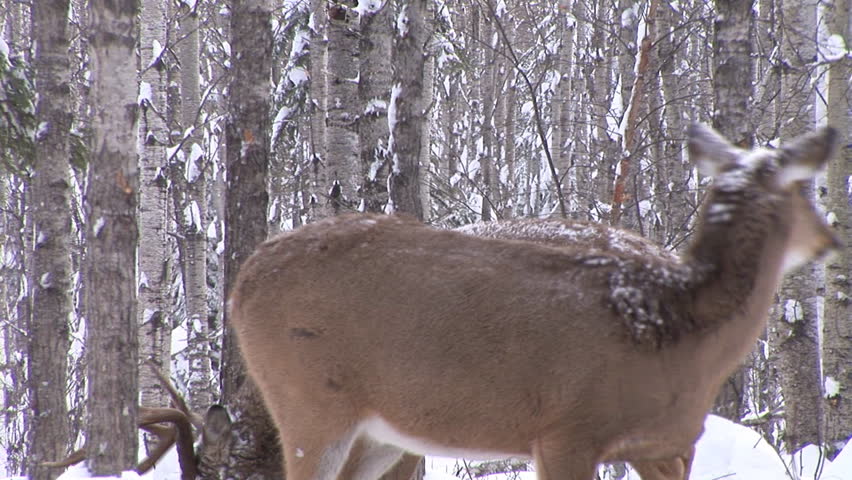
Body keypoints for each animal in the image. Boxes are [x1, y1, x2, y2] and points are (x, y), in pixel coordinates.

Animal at [229, 124, 839, 480]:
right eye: (808, 188)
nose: (830, 239)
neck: (676, 329)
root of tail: (242, 283)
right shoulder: (569, 428)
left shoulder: (659, 446)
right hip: (310, 398)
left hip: (378, 430)